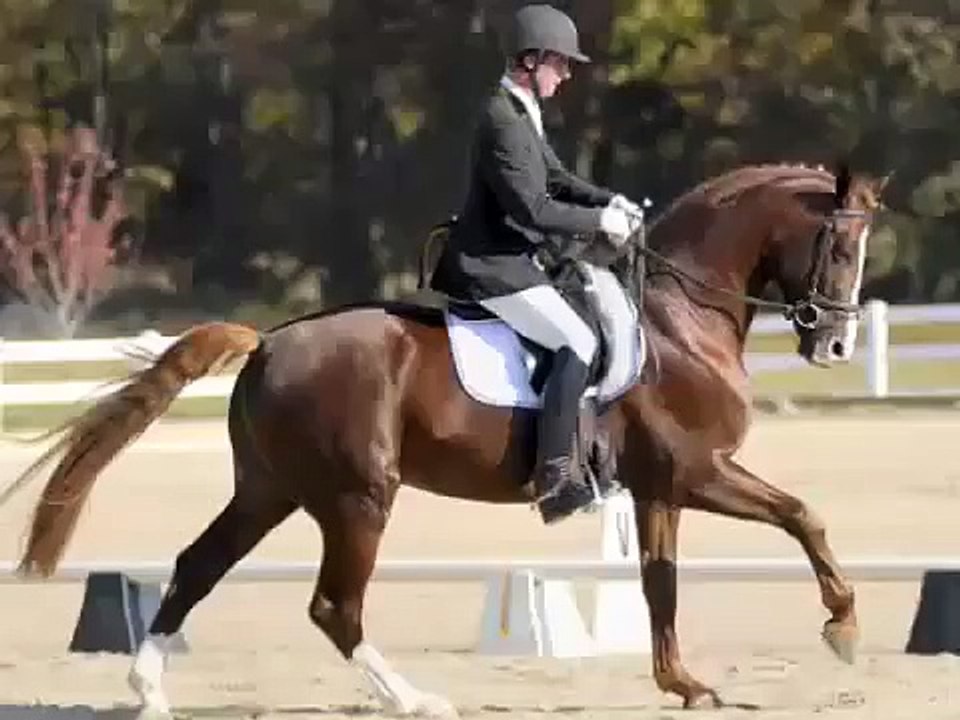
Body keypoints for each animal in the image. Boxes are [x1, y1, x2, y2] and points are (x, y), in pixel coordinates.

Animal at [3, 161, 887, 716]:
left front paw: (684, 684)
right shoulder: (698, 470)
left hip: (270, 491)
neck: (679, 319)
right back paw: (415, 699)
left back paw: (150, 692)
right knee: (334, 607)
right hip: (358, 498)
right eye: (841, 246)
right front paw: (843, 628)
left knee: (198, 566)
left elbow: (659, 585)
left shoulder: (659, 487)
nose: (837, 345)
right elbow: (803, 515)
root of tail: (266, 342)